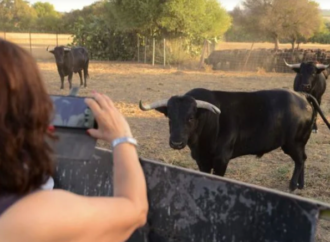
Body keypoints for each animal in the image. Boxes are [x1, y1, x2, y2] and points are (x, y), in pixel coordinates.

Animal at [139, 88, 330, 192]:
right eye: (170, 117)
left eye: (191, 118)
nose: (176, 142)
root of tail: (301, 95)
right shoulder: (202, 160)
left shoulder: (221, 159)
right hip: (298, 143)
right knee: (303, 159)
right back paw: (300, 185)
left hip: (293, 143)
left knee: (300, 160)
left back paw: (292, 186)